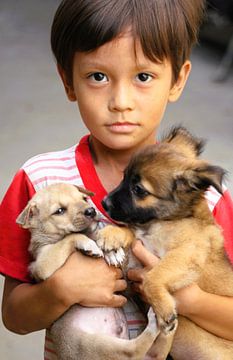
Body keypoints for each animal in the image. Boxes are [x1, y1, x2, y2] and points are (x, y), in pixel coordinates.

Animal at [16, 183, 158, 360]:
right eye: (60, 211)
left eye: (84, 198)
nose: (91, 211)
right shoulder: (43, 263)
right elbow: (70, 237)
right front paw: (89, 245)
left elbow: (98, 237)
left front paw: (112, 250)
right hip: (94, 344)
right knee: (133, 350)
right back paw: (156, 322)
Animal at [102, 127, 233, 360]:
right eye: (123, 177)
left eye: (139, 189)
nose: (104, 203)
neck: (164, 221)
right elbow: (130, 231)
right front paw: (112, 237)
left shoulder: (186, 254)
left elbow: (153, 277)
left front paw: (163, 310)